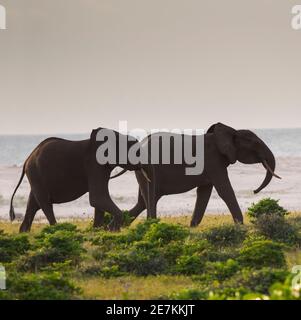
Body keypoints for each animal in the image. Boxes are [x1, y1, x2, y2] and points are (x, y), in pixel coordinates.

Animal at [7, 127, 146, 232]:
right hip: (36, 174)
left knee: (33, 204)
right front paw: (112, 230)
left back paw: (24, 232)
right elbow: (97, 198)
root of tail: (27, 159)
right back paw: (57, 230)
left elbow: (98, 201)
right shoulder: (94, 164)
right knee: (45, 203)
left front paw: (98, 230)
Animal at [127, 122, 280, 225]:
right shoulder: (213, 161)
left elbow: (204, 193)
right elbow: (225, 190)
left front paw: (192, 227)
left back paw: (122, 225)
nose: (254, 191)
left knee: (142, 201)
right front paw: (240, 225)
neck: (231, 131)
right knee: (150, 198)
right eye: (255, 143)